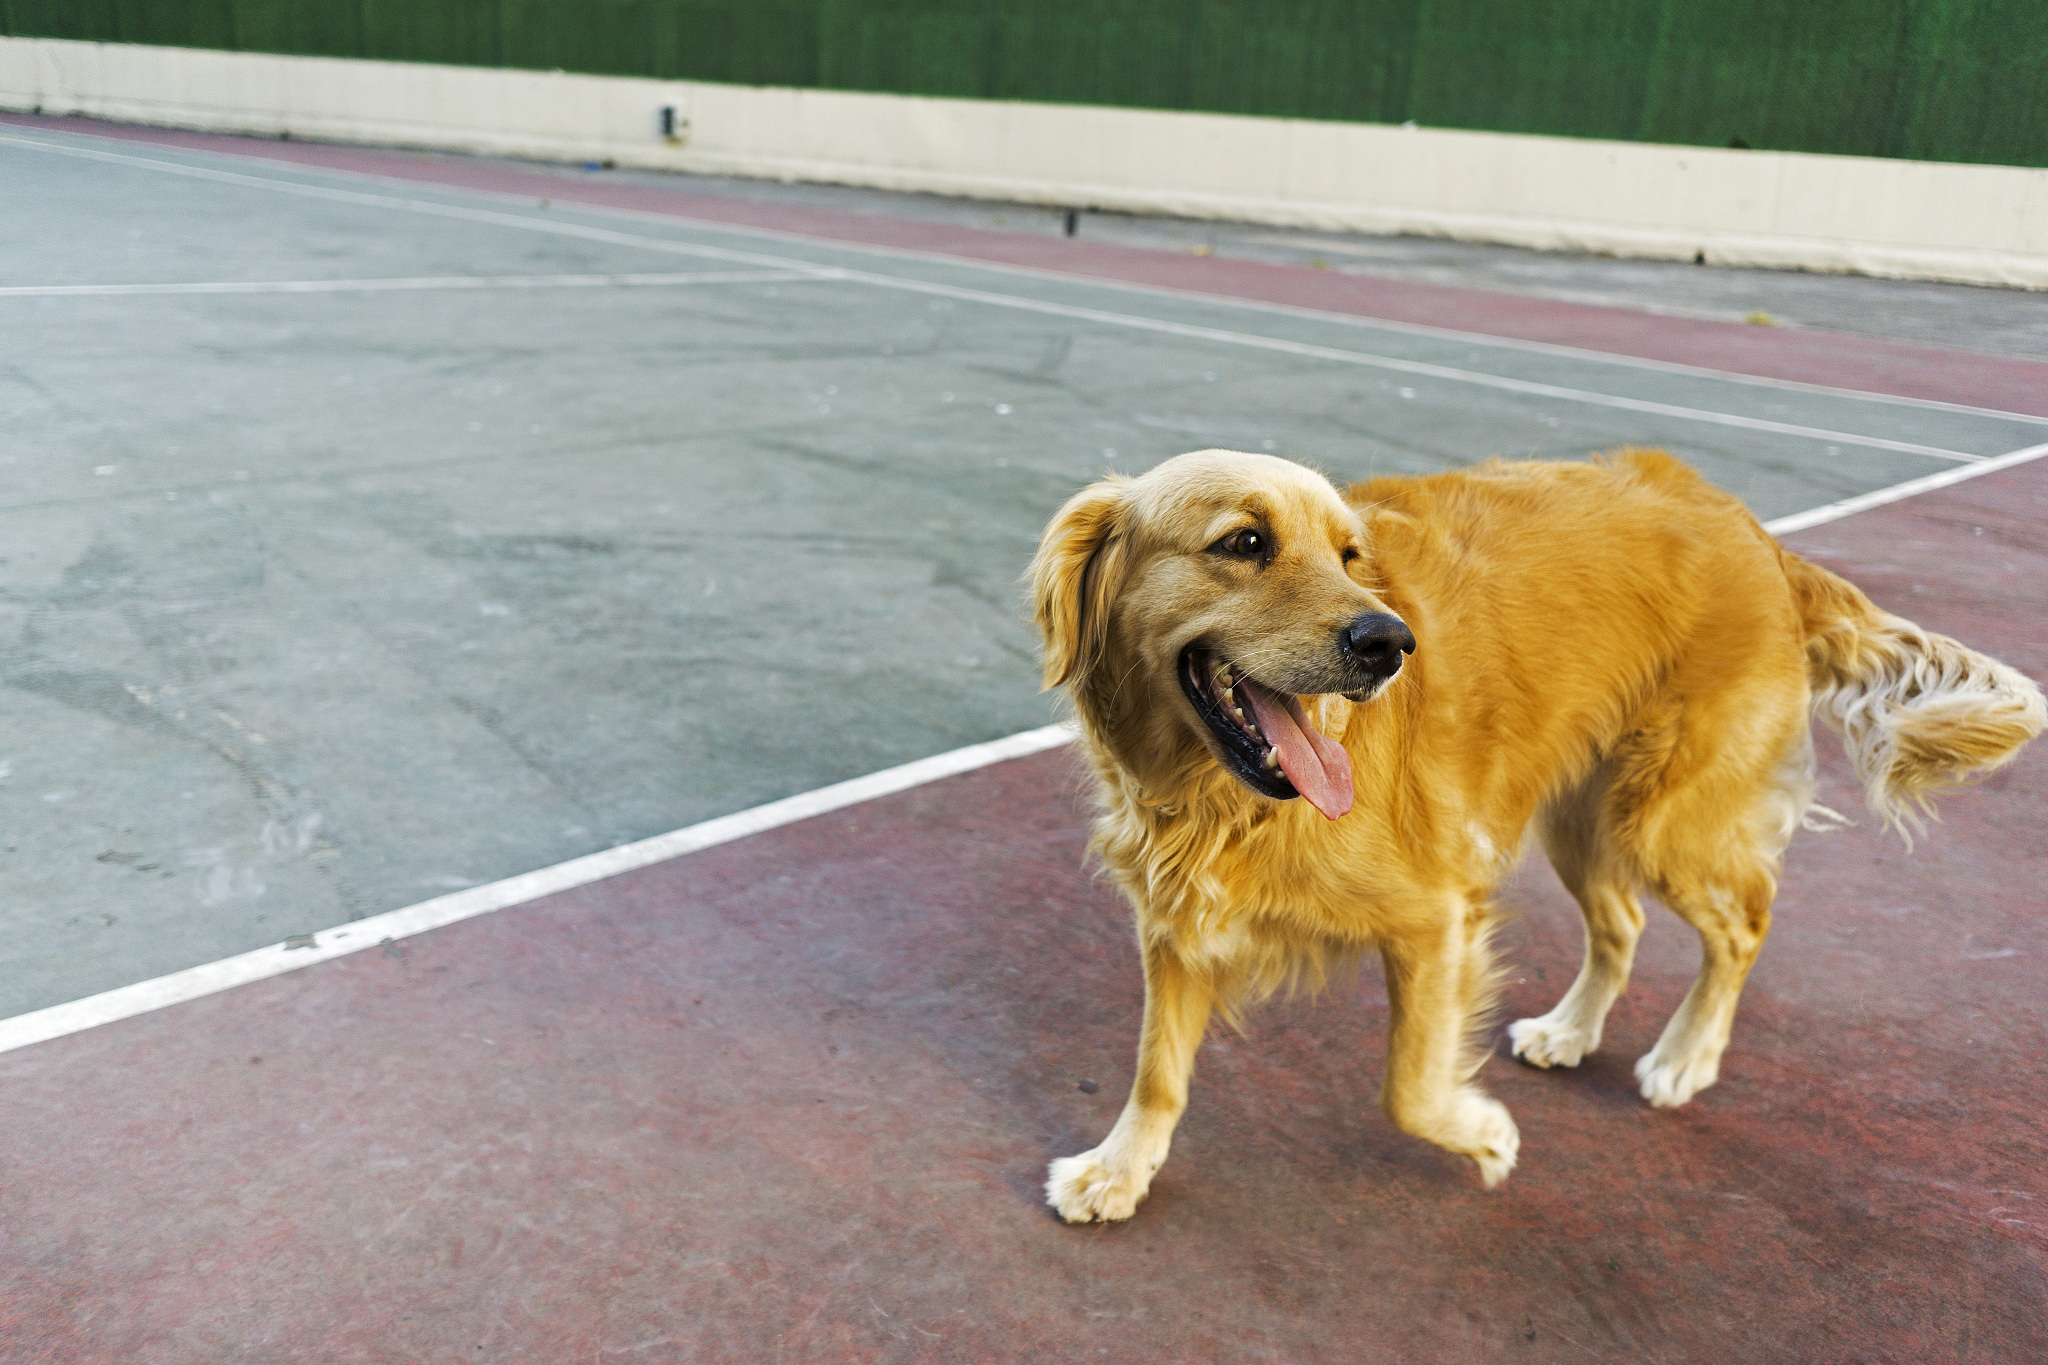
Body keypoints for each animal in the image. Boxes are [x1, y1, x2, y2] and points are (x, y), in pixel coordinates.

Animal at [1032, 450, 2039, 1227]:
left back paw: (1686, 1056)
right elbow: (1158, 1069)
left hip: (1665, 819)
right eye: (1244, 542)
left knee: (1744, 925)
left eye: (1353, 555)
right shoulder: (1176, 922)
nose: (1388, 640)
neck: (1220, 798)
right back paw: (1571, 1028)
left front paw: (1483, 1133)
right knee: (1624, 925)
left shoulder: (1435, 918)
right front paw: (1120, 1169)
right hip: (1579, 816)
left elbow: (1408, 1086)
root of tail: (1751, 527)